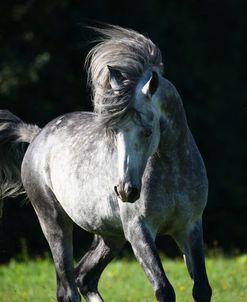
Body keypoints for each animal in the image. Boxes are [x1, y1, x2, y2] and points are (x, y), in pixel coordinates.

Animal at [0, 26, 212, 302]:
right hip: (54, 222)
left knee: (85, 277)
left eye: (147, 131)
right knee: (68, 288)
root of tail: (37, 135)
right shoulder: (138, 230)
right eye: (113, 130)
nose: (125, 190)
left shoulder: (190, 228)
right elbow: (164, 289)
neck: (172, 173)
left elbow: (202, 289)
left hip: (110, 236)